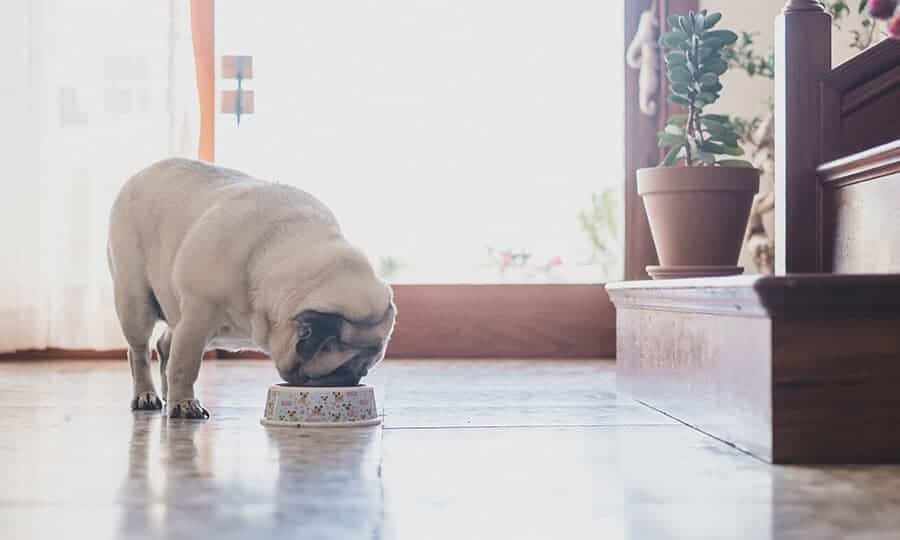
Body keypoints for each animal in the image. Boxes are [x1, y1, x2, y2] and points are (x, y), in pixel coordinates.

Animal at [107, 158, 396, 420]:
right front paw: (185, 403)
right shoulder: (197, 318)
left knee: (165, 345)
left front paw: (179, 398)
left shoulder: (192, 322)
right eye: (333, 371)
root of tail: (141, 173)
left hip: (176, 313)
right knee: (139, 352)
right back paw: (146, 395)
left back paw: (167, 394)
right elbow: (185, 365)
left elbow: (177, 359)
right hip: (135, 302)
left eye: (364, 370)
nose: (350, 379)